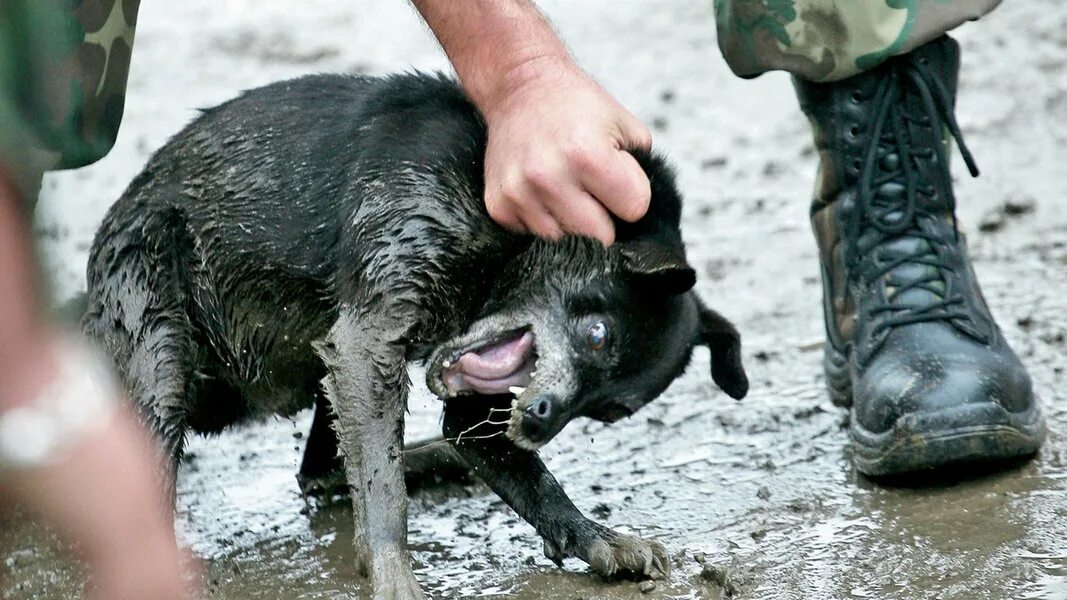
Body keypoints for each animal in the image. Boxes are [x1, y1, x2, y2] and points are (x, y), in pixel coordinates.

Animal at [81, 72, 751, 593]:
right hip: (160, 351)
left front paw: (597, 538)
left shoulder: (462, 397)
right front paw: (394, 578)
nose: (539, 423)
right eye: (596, 334)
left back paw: (432, 459)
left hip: (318, 361)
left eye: (610, 411)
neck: (499, 223)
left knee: (324, 469)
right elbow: (385, 497)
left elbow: (528, 479)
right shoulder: (368, 341)